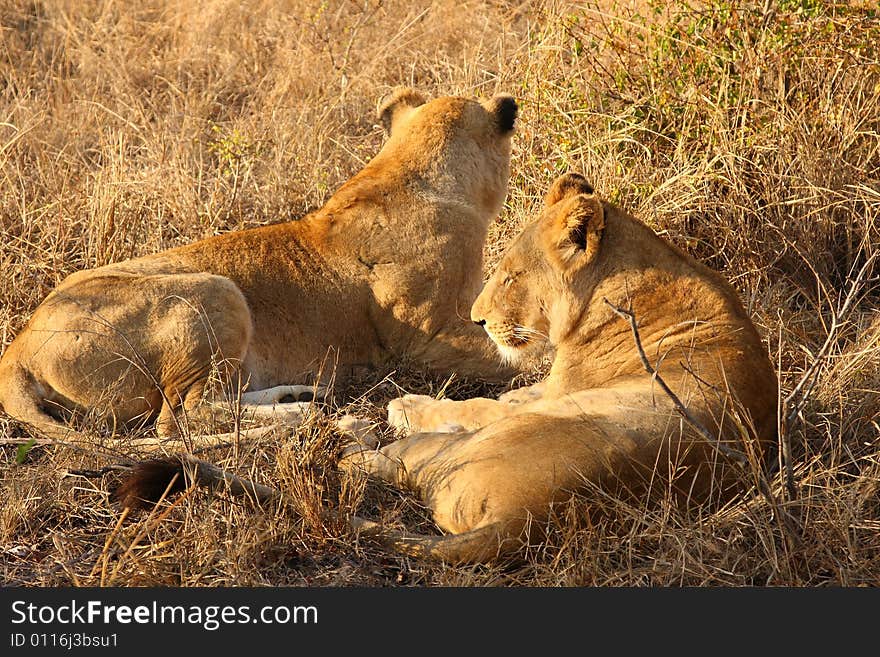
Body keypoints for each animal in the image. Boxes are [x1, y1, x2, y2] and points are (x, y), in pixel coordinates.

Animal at [0, 87, 520, 444]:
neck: (411, 171)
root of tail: (15, 354)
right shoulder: (428, 338)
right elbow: (516, 356)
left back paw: (302, 395)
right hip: (214, 291)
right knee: (181, 418)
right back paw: (299, 415)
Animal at [336, 174, 776, 564]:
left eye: (511, 277)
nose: (477, 320)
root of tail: (521, 521)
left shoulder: (546, 396)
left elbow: (476, 406)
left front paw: (410, 406)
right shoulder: (554, 387)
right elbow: (519, 392)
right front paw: (513, 390)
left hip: (465, 447)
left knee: (383, 459)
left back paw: (353, 434)